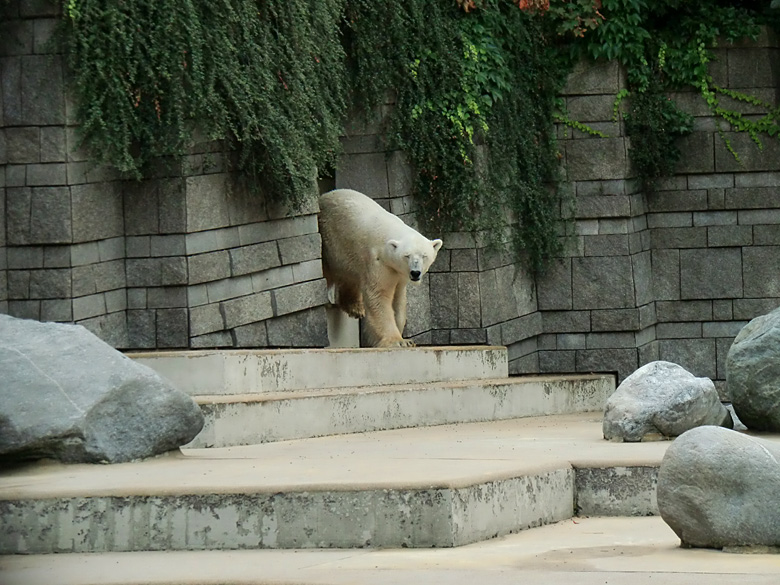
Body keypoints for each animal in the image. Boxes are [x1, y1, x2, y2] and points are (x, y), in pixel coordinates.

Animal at [316, 189, 438, 346]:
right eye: (407, 256)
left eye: (424, 255)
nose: (415, 273)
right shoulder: (378, 263)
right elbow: (380, 295)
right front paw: (397, 341)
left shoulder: (399, 274)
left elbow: (398, 299)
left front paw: (405, 338)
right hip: (329, 242)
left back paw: (355, 307)